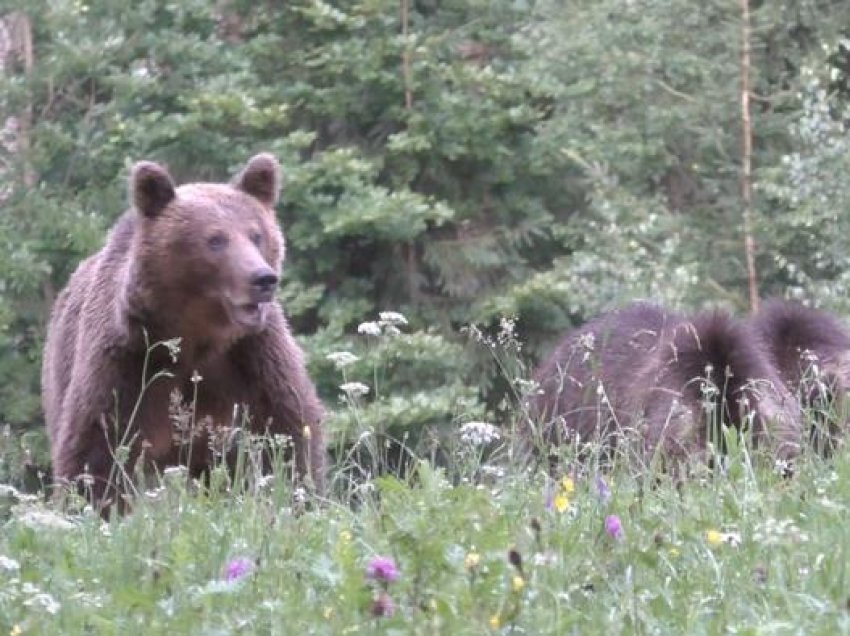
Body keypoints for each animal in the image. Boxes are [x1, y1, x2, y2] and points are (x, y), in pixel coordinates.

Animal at [42, 155, 324, 512]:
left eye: (256, 235)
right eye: (215, 239)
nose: (262, 278)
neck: (197, 336)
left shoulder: (252, 358)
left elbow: (286, 433)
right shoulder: (127, 361)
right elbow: (96, 448)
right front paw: (91, 505)